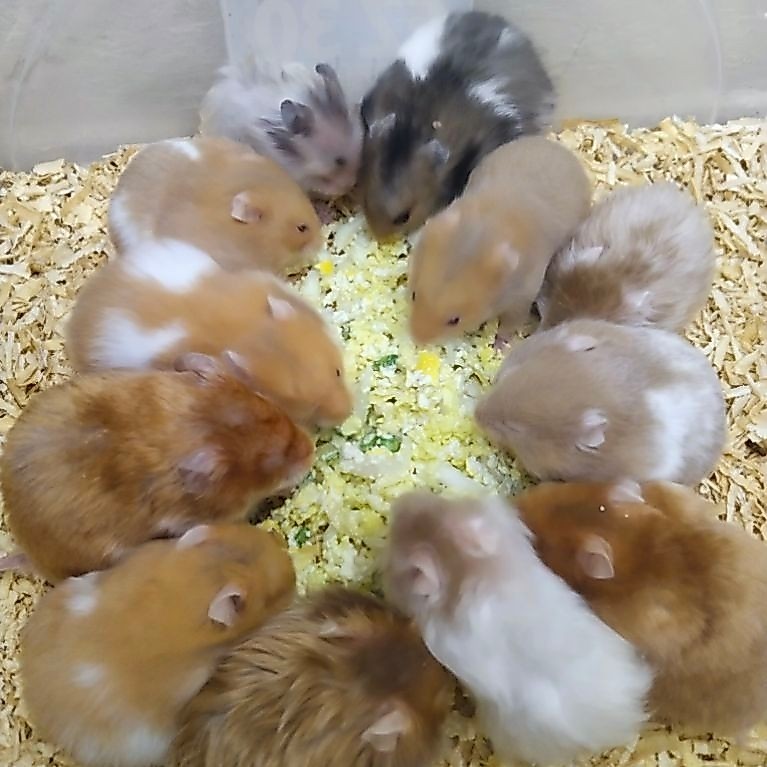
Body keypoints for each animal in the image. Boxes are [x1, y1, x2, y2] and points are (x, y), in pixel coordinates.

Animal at [409, 137, 591, 345]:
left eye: (455, 320)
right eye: (414, 295)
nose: (416, 339)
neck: (481, 236)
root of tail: (562, 150)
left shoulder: (522, 295)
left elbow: (511, 323)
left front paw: (499, 345)